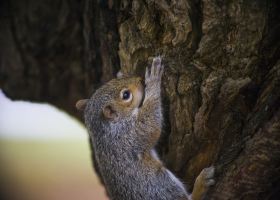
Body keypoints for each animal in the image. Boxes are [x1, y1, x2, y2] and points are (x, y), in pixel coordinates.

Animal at [76, 56, 214, 200]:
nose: (140, 79)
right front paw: (153, 79)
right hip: (159, 184)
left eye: (113, 81)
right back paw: (201, 184)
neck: (103, 128)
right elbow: (151, 125)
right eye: (126, 95)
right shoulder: (130, 134)